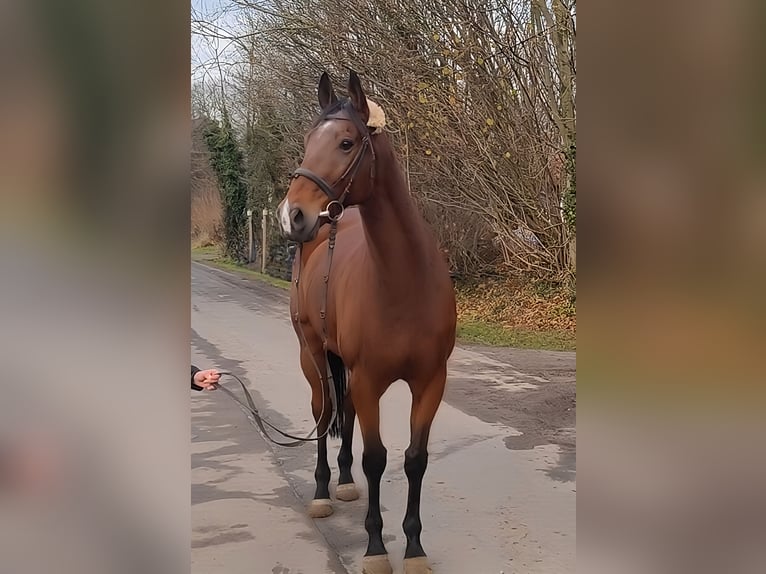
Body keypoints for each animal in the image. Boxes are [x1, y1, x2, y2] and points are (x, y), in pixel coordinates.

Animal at [280, 72, 456, 574]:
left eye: (346, 142)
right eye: (307, 142)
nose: (292, 215)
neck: (402, 281)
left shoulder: (430, 382)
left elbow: (415, 458)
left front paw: (414, 547)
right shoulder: (370, 379)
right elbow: (376, 458)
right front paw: (376, 547)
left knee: (345, 413)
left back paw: (342, 481)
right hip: (313, 355)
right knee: (323, 414)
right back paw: (323, 490)